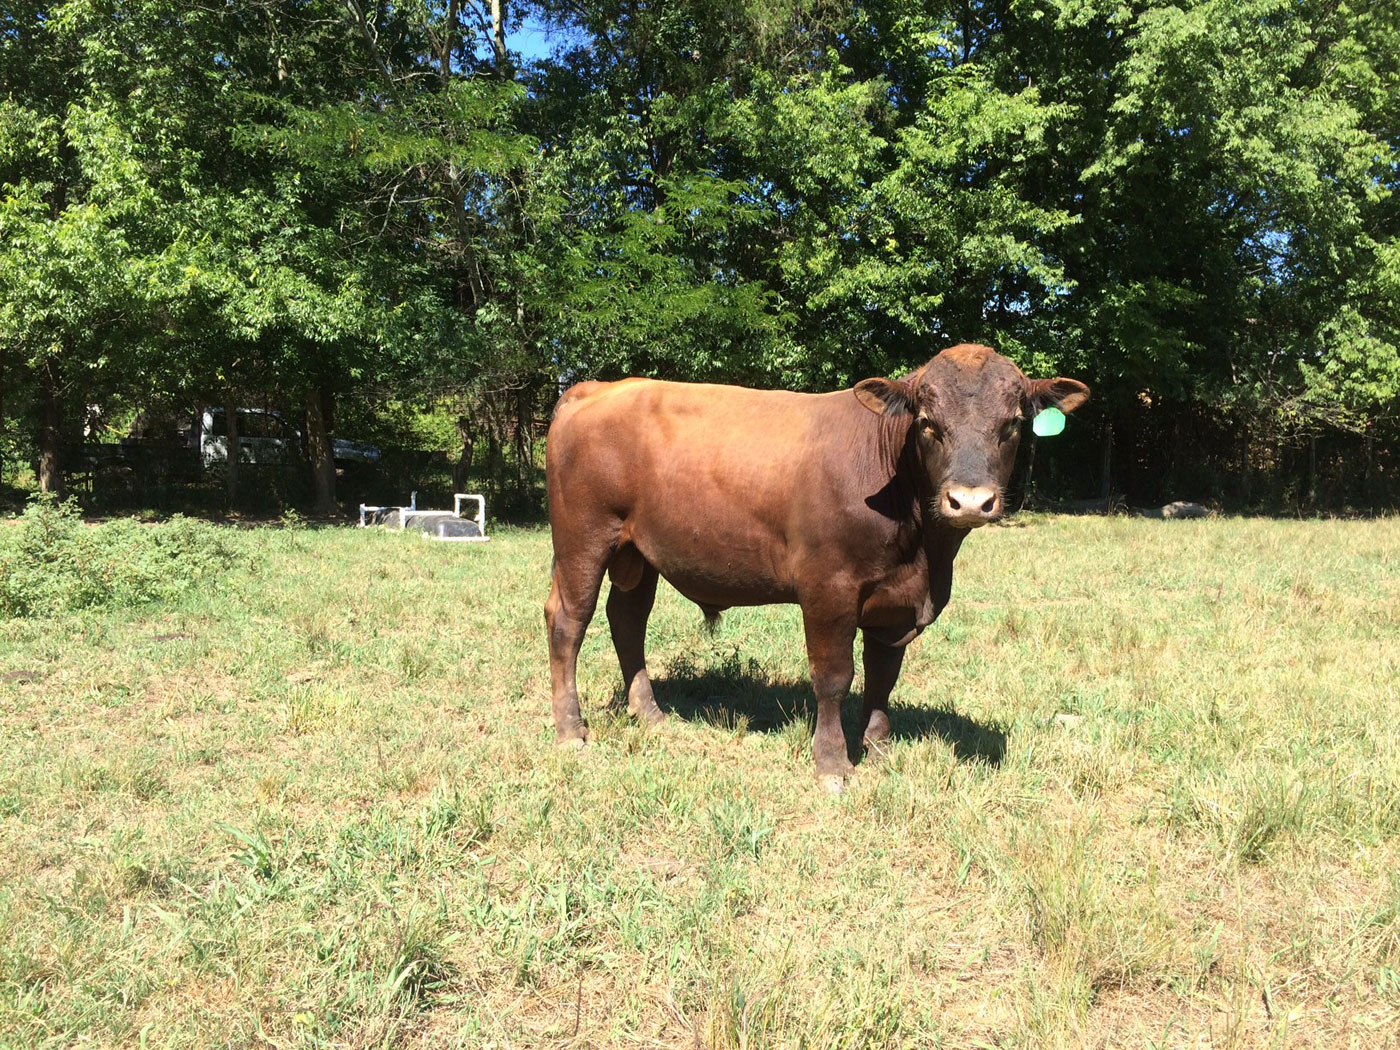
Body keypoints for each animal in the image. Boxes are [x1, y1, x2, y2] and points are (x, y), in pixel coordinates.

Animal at [543, 343, 1089, 790]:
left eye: (1013, 422)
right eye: (927, 422)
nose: (970, 501)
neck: (924, 558)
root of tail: (599, 388)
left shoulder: (894, 603)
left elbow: (883, 675)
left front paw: (878, 747)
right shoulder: (829, 588)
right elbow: (834, 676)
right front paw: (832, 763)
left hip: (637, 553)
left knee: (627, 621)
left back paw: (651, 715)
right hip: (583, 538)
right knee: (569, 622)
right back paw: (571, 731)